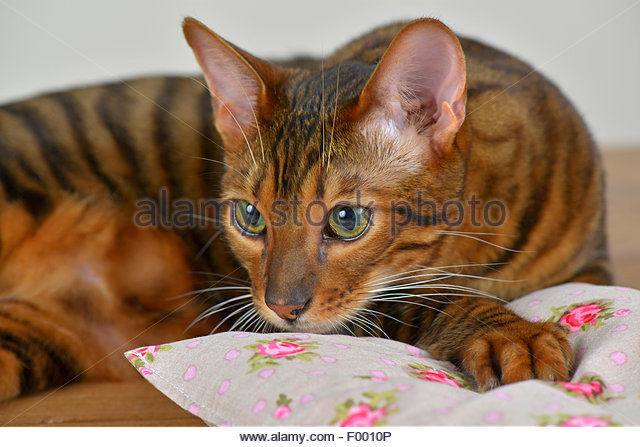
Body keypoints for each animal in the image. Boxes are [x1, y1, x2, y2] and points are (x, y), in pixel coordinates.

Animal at [0, 16, 608, 402]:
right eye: (250, 218)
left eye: (346, 220)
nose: (281, 307)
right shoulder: (357, 317)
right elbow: (428, 300)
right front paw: (506, 333)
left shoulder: (589, 268)